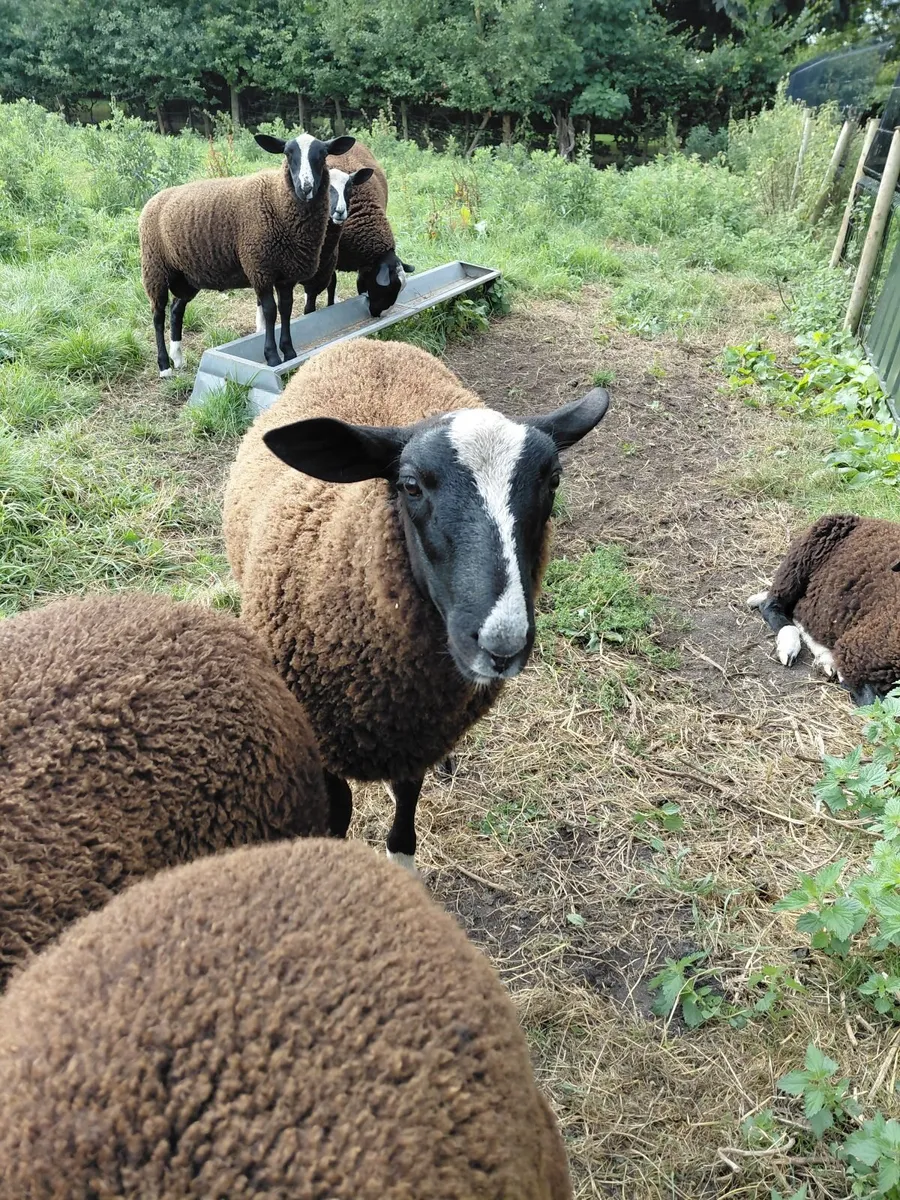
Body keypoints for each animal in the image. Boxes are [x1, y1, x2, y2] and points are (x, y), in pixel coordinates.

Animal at [139, 132, 355, 377]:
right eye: (288, 153)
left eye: (323, 154)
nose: (306, 187)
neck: (278, 199)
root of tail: (154, 199)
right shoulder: (260, 268)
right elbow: (270, 311)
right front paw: (272, 357)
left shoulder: (286, 274)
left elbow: (286, 309)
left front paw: (289, 352)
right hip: (155, 268)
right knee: (158, 315)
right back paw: (164, 366)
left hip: (186, 275)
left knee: (176, 309)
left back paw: (178, 358)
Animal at [223, 337, 609, 870]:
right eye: (409, 485)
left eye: (552, 480)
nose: (502, 644)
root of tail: (372, 342)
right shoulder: (320, 740)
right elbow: (339, 809)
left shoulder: (418, 735)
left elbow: (407, 801)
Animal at [747, 512, 900, 706]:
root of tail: (865, 519)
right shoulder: (854, 654)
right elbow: (875, 704)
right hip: (800, 560)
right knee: (772, 606)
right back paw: (789, 646)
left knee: (798, 614)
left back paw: (825, 658)